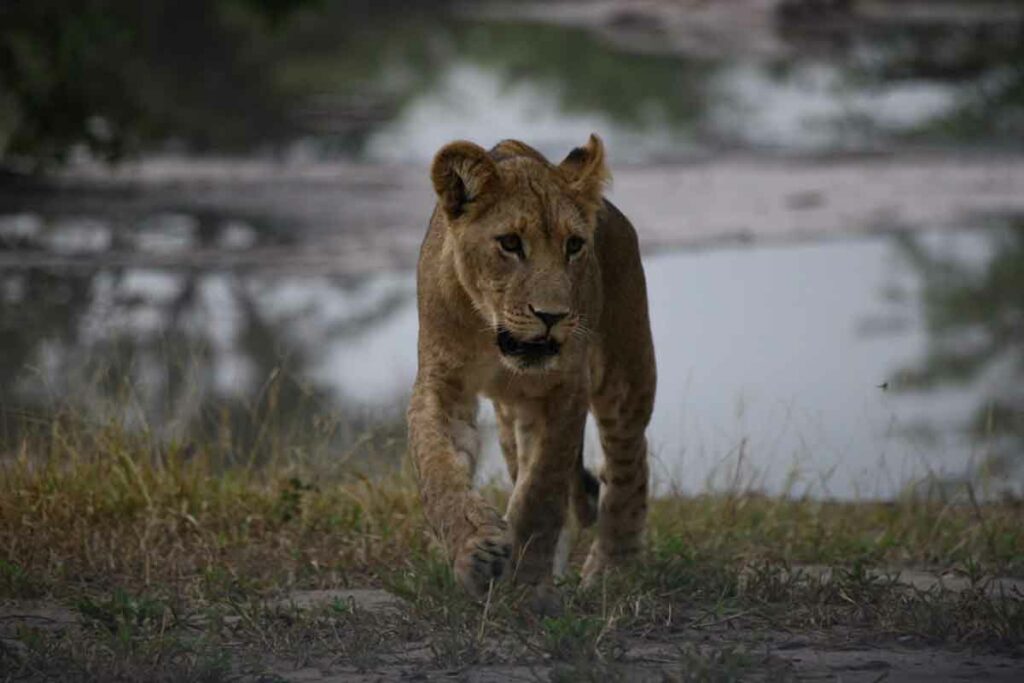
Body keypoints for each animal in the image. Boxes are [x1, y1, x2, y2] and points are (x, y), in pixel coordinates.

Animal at [407, 134, 656, 609]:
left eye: (574, 245)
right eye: (509, 243)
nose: (552, 315)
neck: (490, 332)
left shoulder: (566, 388)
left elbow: (541, 491)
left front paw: (529, 583)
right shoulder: (441, 384)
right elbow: (437, 468)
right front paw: (476, 552)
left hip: (625, 375)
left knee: (628, 466)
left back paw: (612, 569)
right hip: (511, 420)